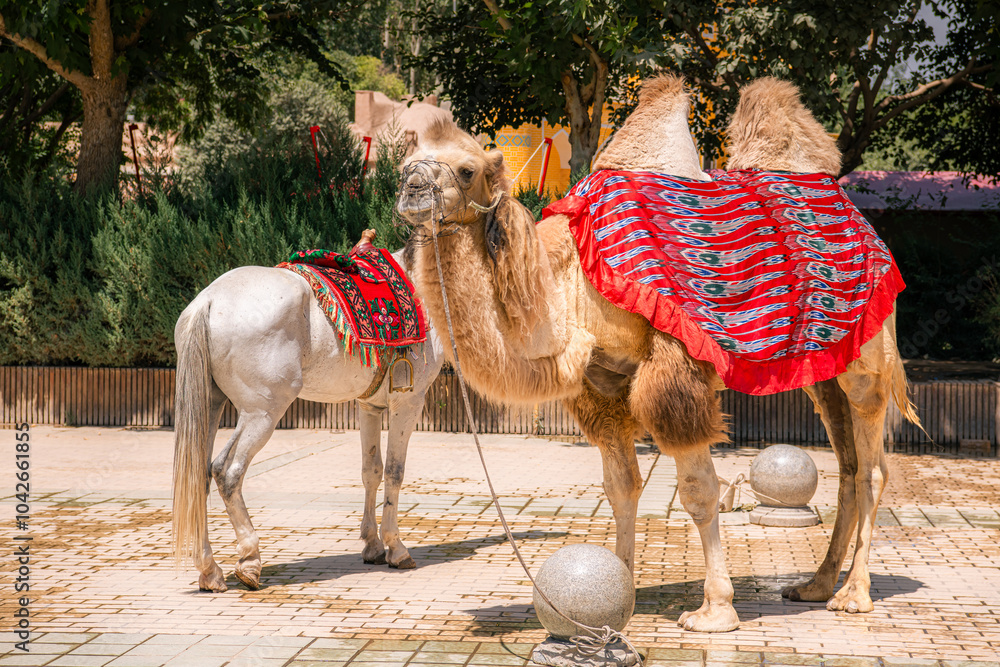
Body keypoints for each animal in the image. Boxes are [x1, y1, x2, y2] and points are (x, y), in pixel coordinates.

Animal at [171, 248, 443, 592]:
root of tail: (208, 301)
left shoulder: (369, 406)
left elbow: (371, 470)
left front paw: (373, 546)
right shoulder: (407, 402)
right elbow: (395, 472)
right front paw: (396, 548)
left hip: (209, 404)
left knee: (198, 477)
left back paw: (210, 572)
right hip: (262, 413)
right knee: (226, 471)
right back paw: (249, 561)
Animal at [394, 74, 919, 632]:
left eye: (467, 169)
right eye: (408, 161)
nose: (411, 188)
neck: (570, 284)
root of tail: (861, 222)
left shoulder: (675, 367)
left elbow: (699, 491)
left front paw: (714, 610)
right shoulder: (603, 385)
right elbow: (620, 488)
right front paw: (616, 593)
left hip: (868, 352)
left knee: (873, 467)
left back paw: (854, 594)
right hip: (823, 367)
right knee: (846, 464)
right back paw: (816, 585)